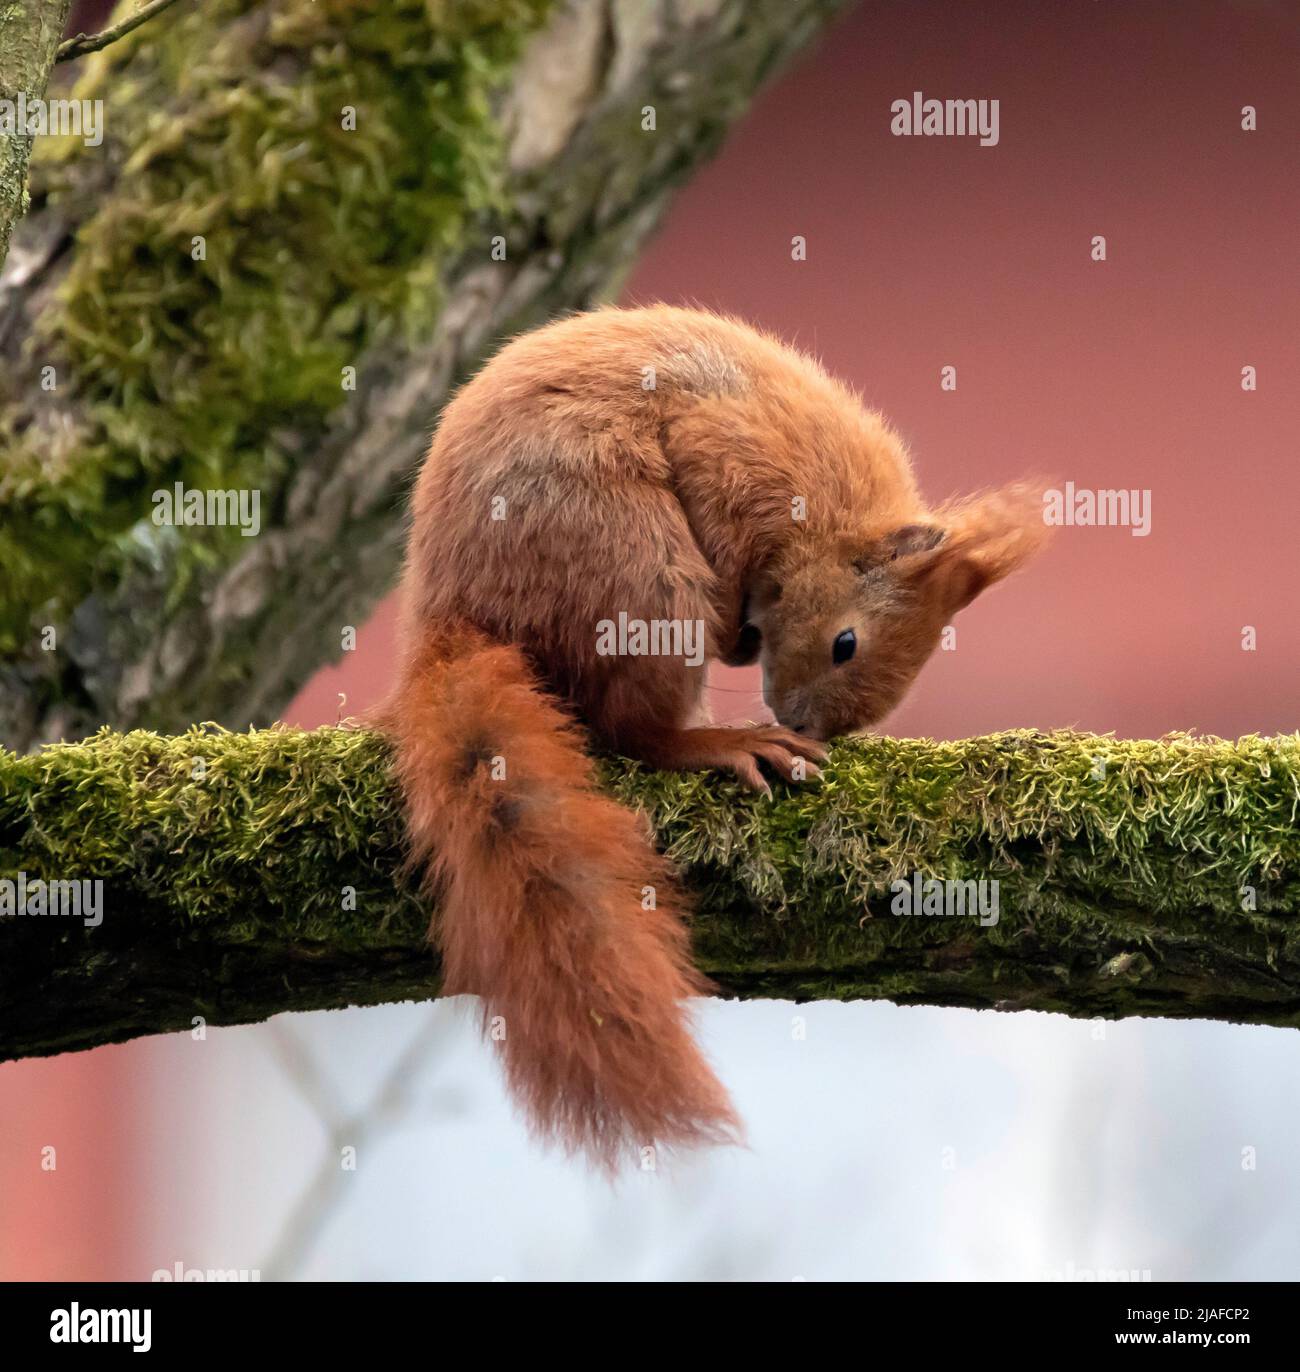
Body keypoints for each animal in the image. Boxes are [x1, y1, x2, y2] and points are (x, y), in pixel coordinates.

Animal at [380, 304, 1048, 1169]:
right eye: (846, 643)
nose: (801, 722)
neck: (828, 512)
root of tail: (452, 611)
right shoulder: (731, 455)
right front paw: (741, 641)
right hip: (641, 573)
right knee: (628, 729)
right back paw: (719, 742)